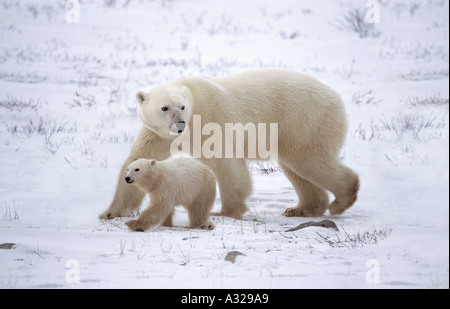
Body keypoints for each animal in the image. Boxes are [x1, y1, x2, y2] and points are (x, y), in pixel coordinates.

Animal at [99, 70, 358, 219]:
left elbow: (226, 162)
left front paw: (227, 211)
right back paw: (302, 208)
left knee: (310, 161)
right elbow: (138, 159)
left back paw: (341, 201)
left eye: (182, 106)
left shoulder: (212, 119)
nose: (180, 124)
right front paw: (110, 212)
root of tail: (336, 97)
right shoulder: (158, 135)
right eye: (164, 107)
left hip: (304, 119)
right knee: (297, 169)